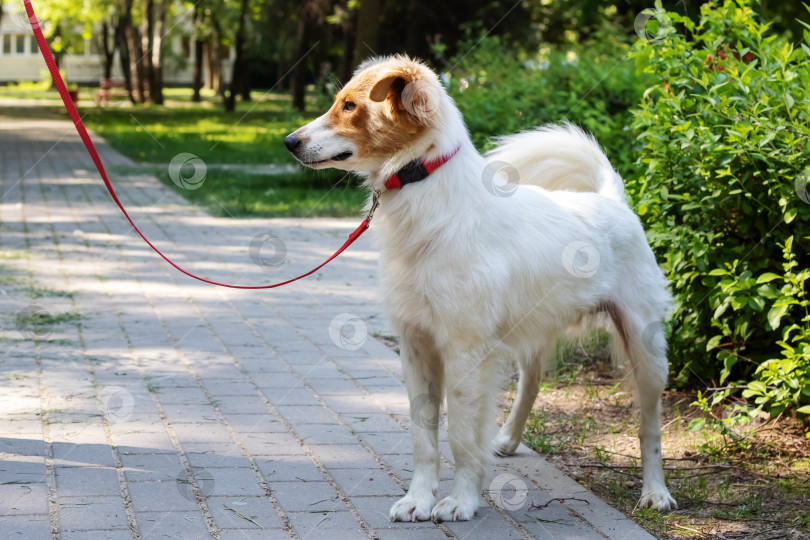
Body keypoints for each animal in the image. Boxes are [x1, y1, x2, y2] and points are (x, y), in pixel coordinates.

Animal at [284, 56, 676, 524]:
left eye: (348, 106)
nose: (289, 141)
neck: (426, 191)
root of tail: (612, 200)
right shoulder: (416, 345)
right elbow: (423, 437)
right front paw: (419, 498)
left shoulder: (465, 351)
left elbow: (460, 436)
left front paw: (461, 501)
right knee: (532, 382)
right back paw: (507, 439)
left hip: (646, 350)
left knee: (650, 425)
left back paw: (655, 492)